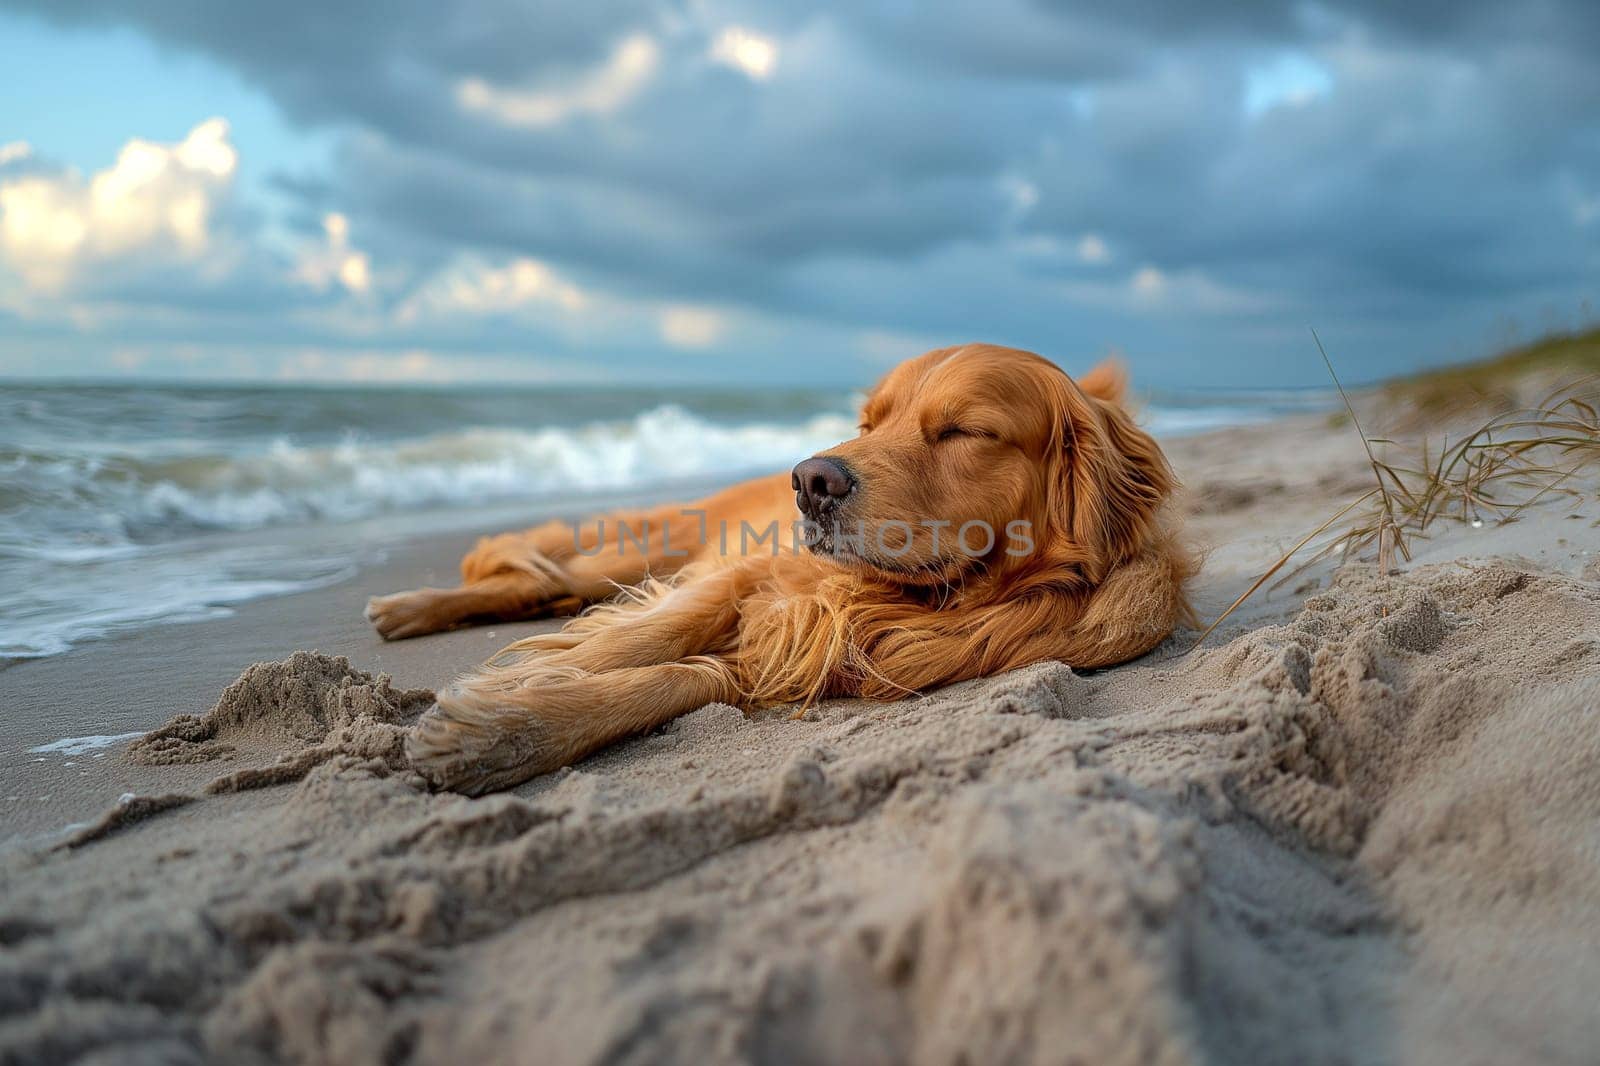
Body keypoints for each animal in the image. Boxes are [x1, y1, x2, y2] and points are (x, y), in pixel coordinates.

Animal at [366, 344, 1190, 793]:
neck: (916, 600)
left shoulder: (802, 651)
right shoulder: (754, 575)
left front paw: (508, 730)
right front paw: (516, 699)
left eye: (964, 431)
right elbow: (646, 636)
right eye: (870, 421)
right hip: (643, 548)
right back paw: (405, 607)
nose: (811, 480)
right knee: (541, 575)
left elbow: (680, 678)